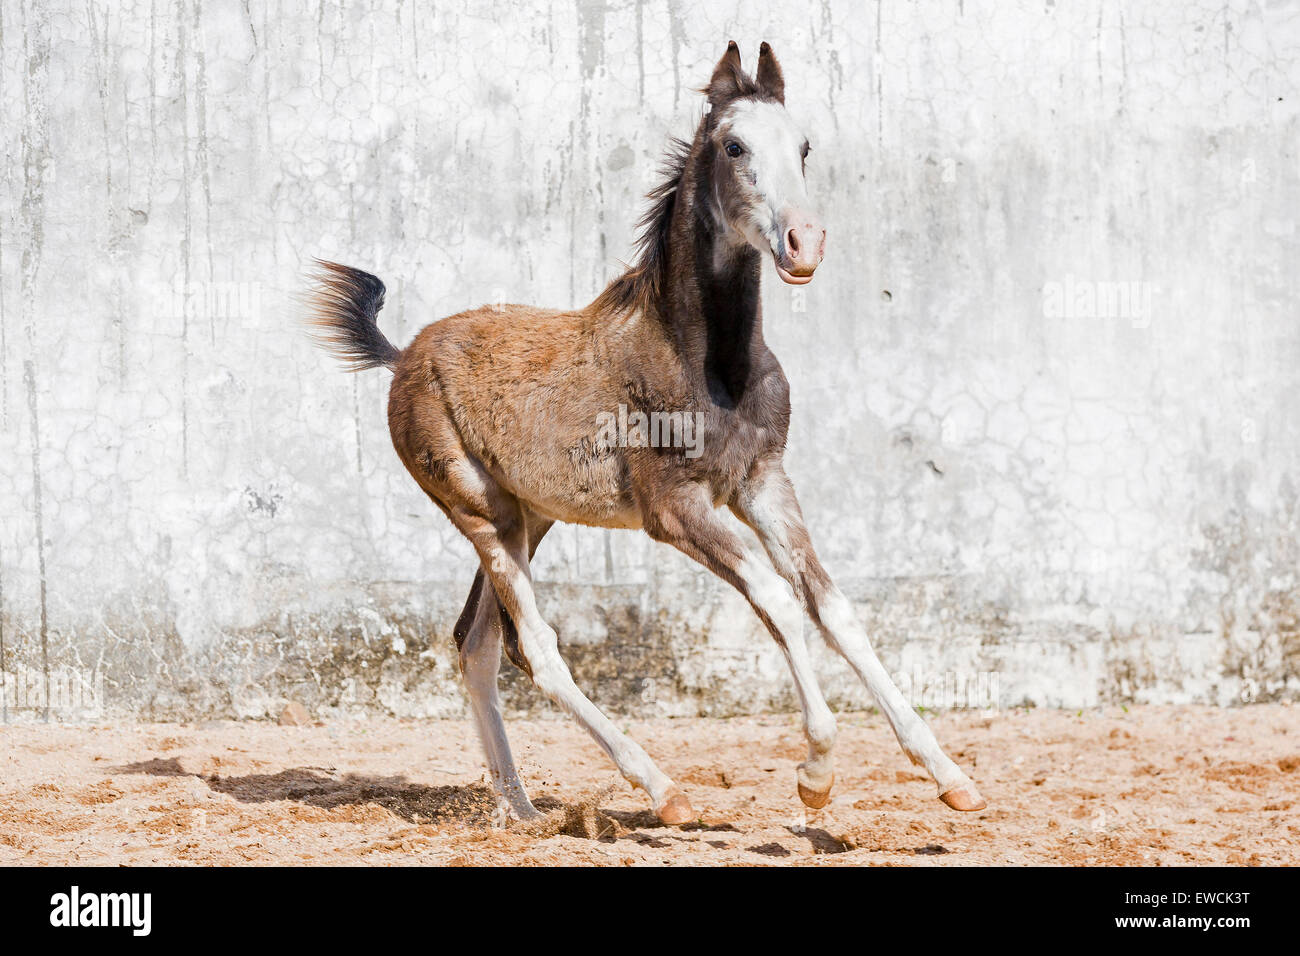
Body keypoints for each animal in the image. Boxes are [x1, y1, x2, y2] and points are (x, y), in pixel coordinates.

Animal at [306, 41, 982, 827]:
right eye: (734, 146)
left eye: (805, 146)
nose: (804, 243)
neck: (707, 360)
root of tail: (403, 356)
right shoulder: (675, 509)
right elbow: (778, 600)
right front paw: (815, 773)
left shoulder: (763, 482)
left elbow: (832, 606)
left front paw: (949, 775)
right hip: (482, 513)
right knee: (535, 647)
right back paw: (660, 790)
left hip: (530, 515)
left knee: (477, 646)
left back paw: (523, 813)